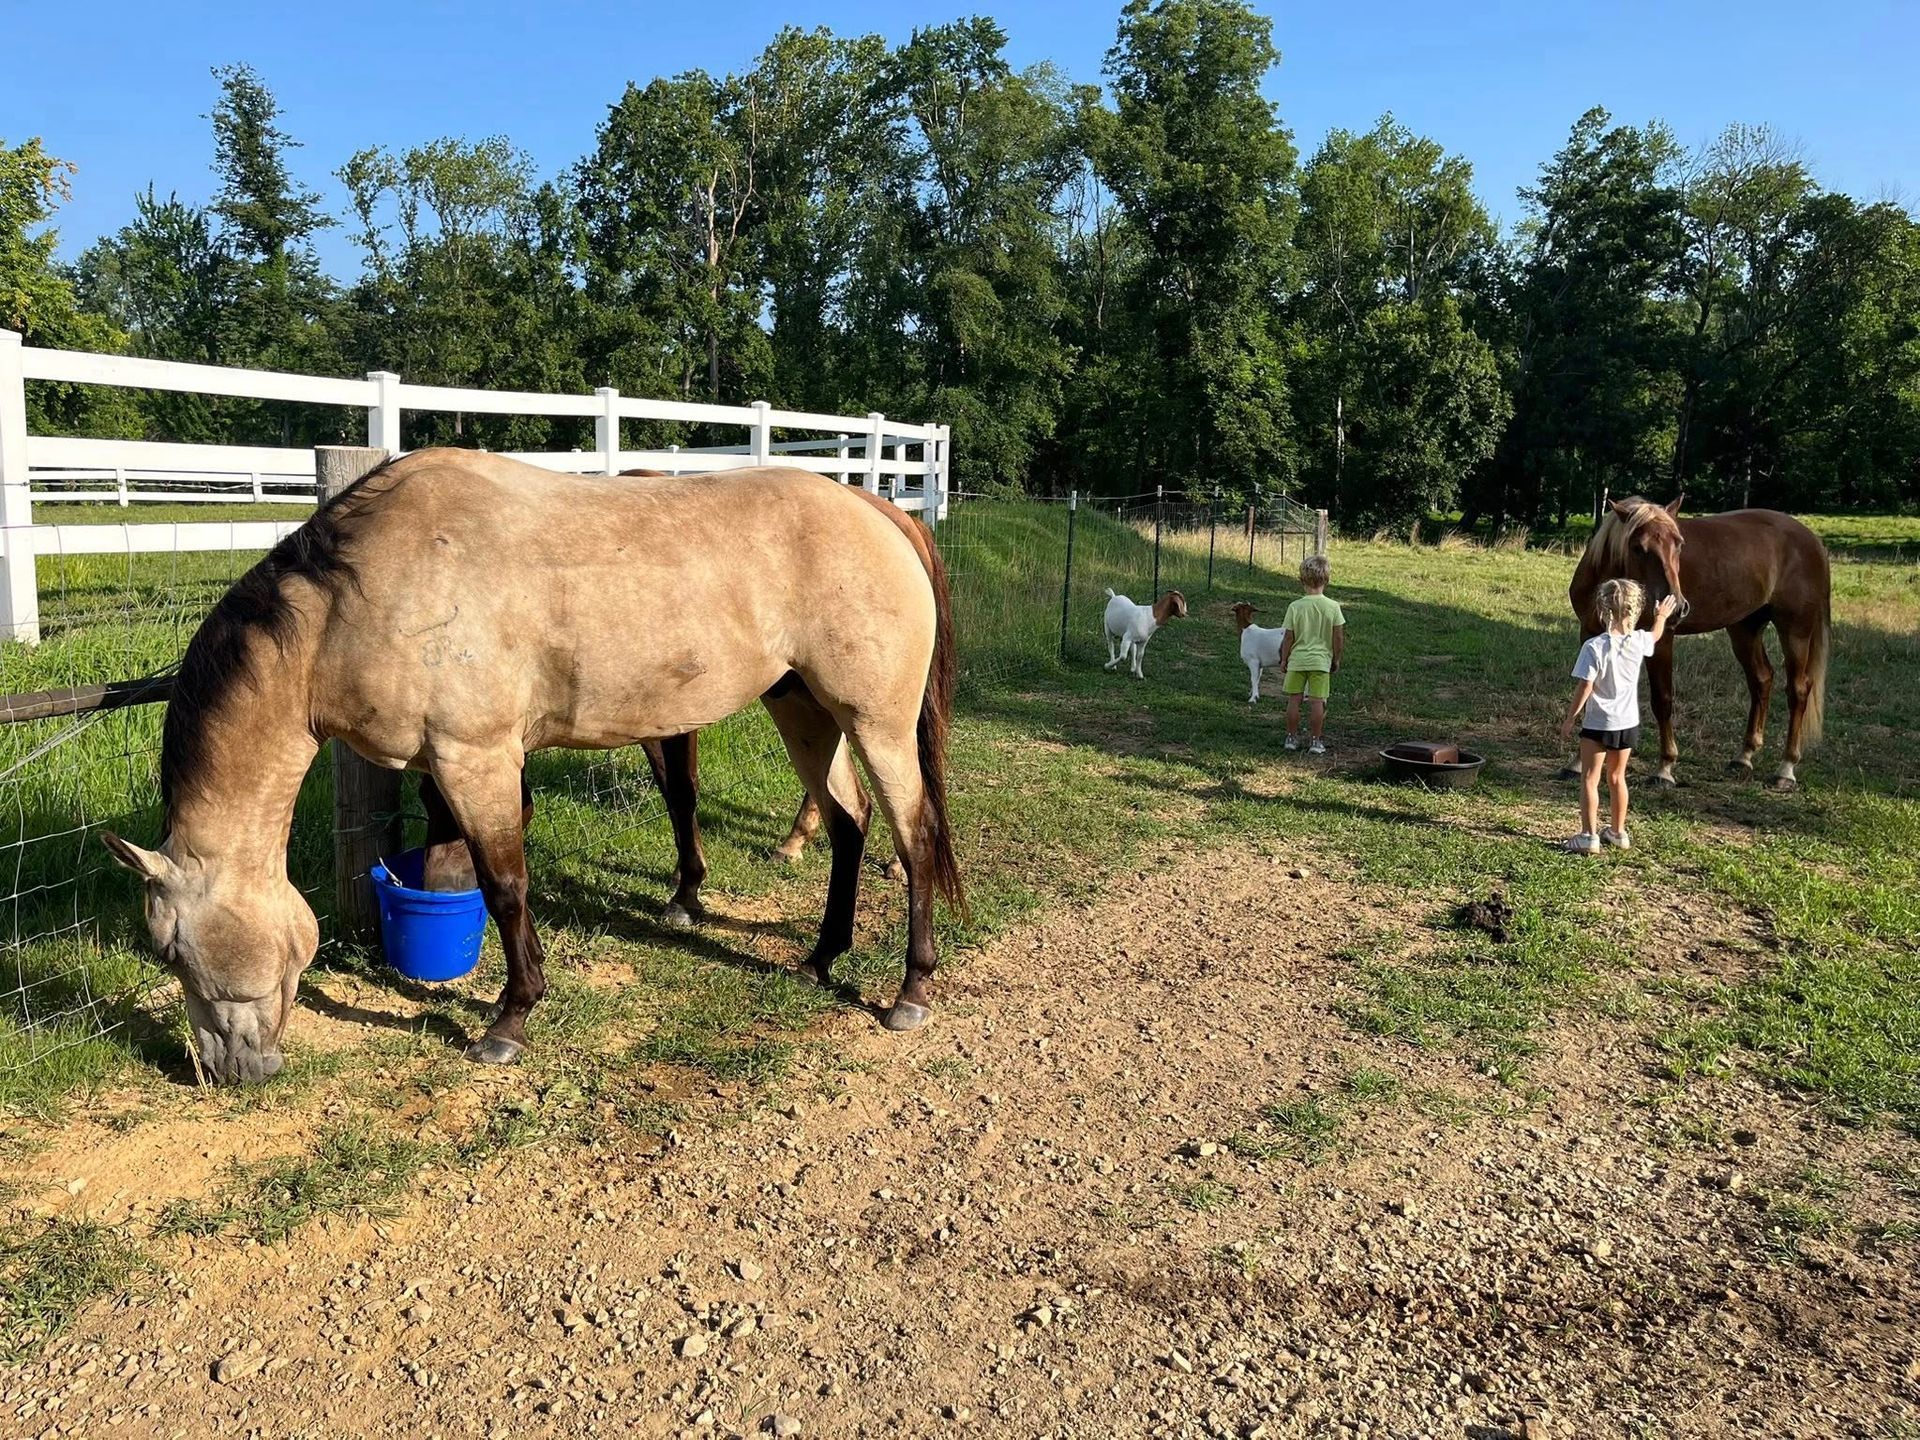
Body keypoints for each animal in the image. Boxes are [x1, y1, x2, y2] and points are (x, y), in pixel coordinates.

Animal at [100, 449, 963, 1084]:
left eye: (170, 949)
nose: (223, 1071)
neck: (359, 596)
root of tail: (876, 511)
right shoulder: (460, 765)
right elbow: (467, 868)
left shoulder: (474, 756)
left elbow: (505, 885)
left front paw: (509, 1021)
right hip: (805, 711)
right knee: (849, 823)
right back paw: (821, 956)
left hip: (875, 724)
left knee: (912, 834)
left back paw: (911, 990)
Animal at [1566, 496, 1831, 790]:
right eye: (1637, 547)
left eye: (1679, 543)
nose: (1677, 607)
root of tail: (1813, 541)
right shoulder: (1589, 634)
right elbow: (1589, 695)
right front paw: (1578, 763)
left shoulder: (1660, 640)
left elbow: (1663, 700)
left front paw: (1665, 768)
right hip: (1745, 629)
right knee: (1761, 679)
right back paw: (1744, 756)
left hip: (1795, 630)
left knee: (1798, 689)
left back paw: (1786, 768)